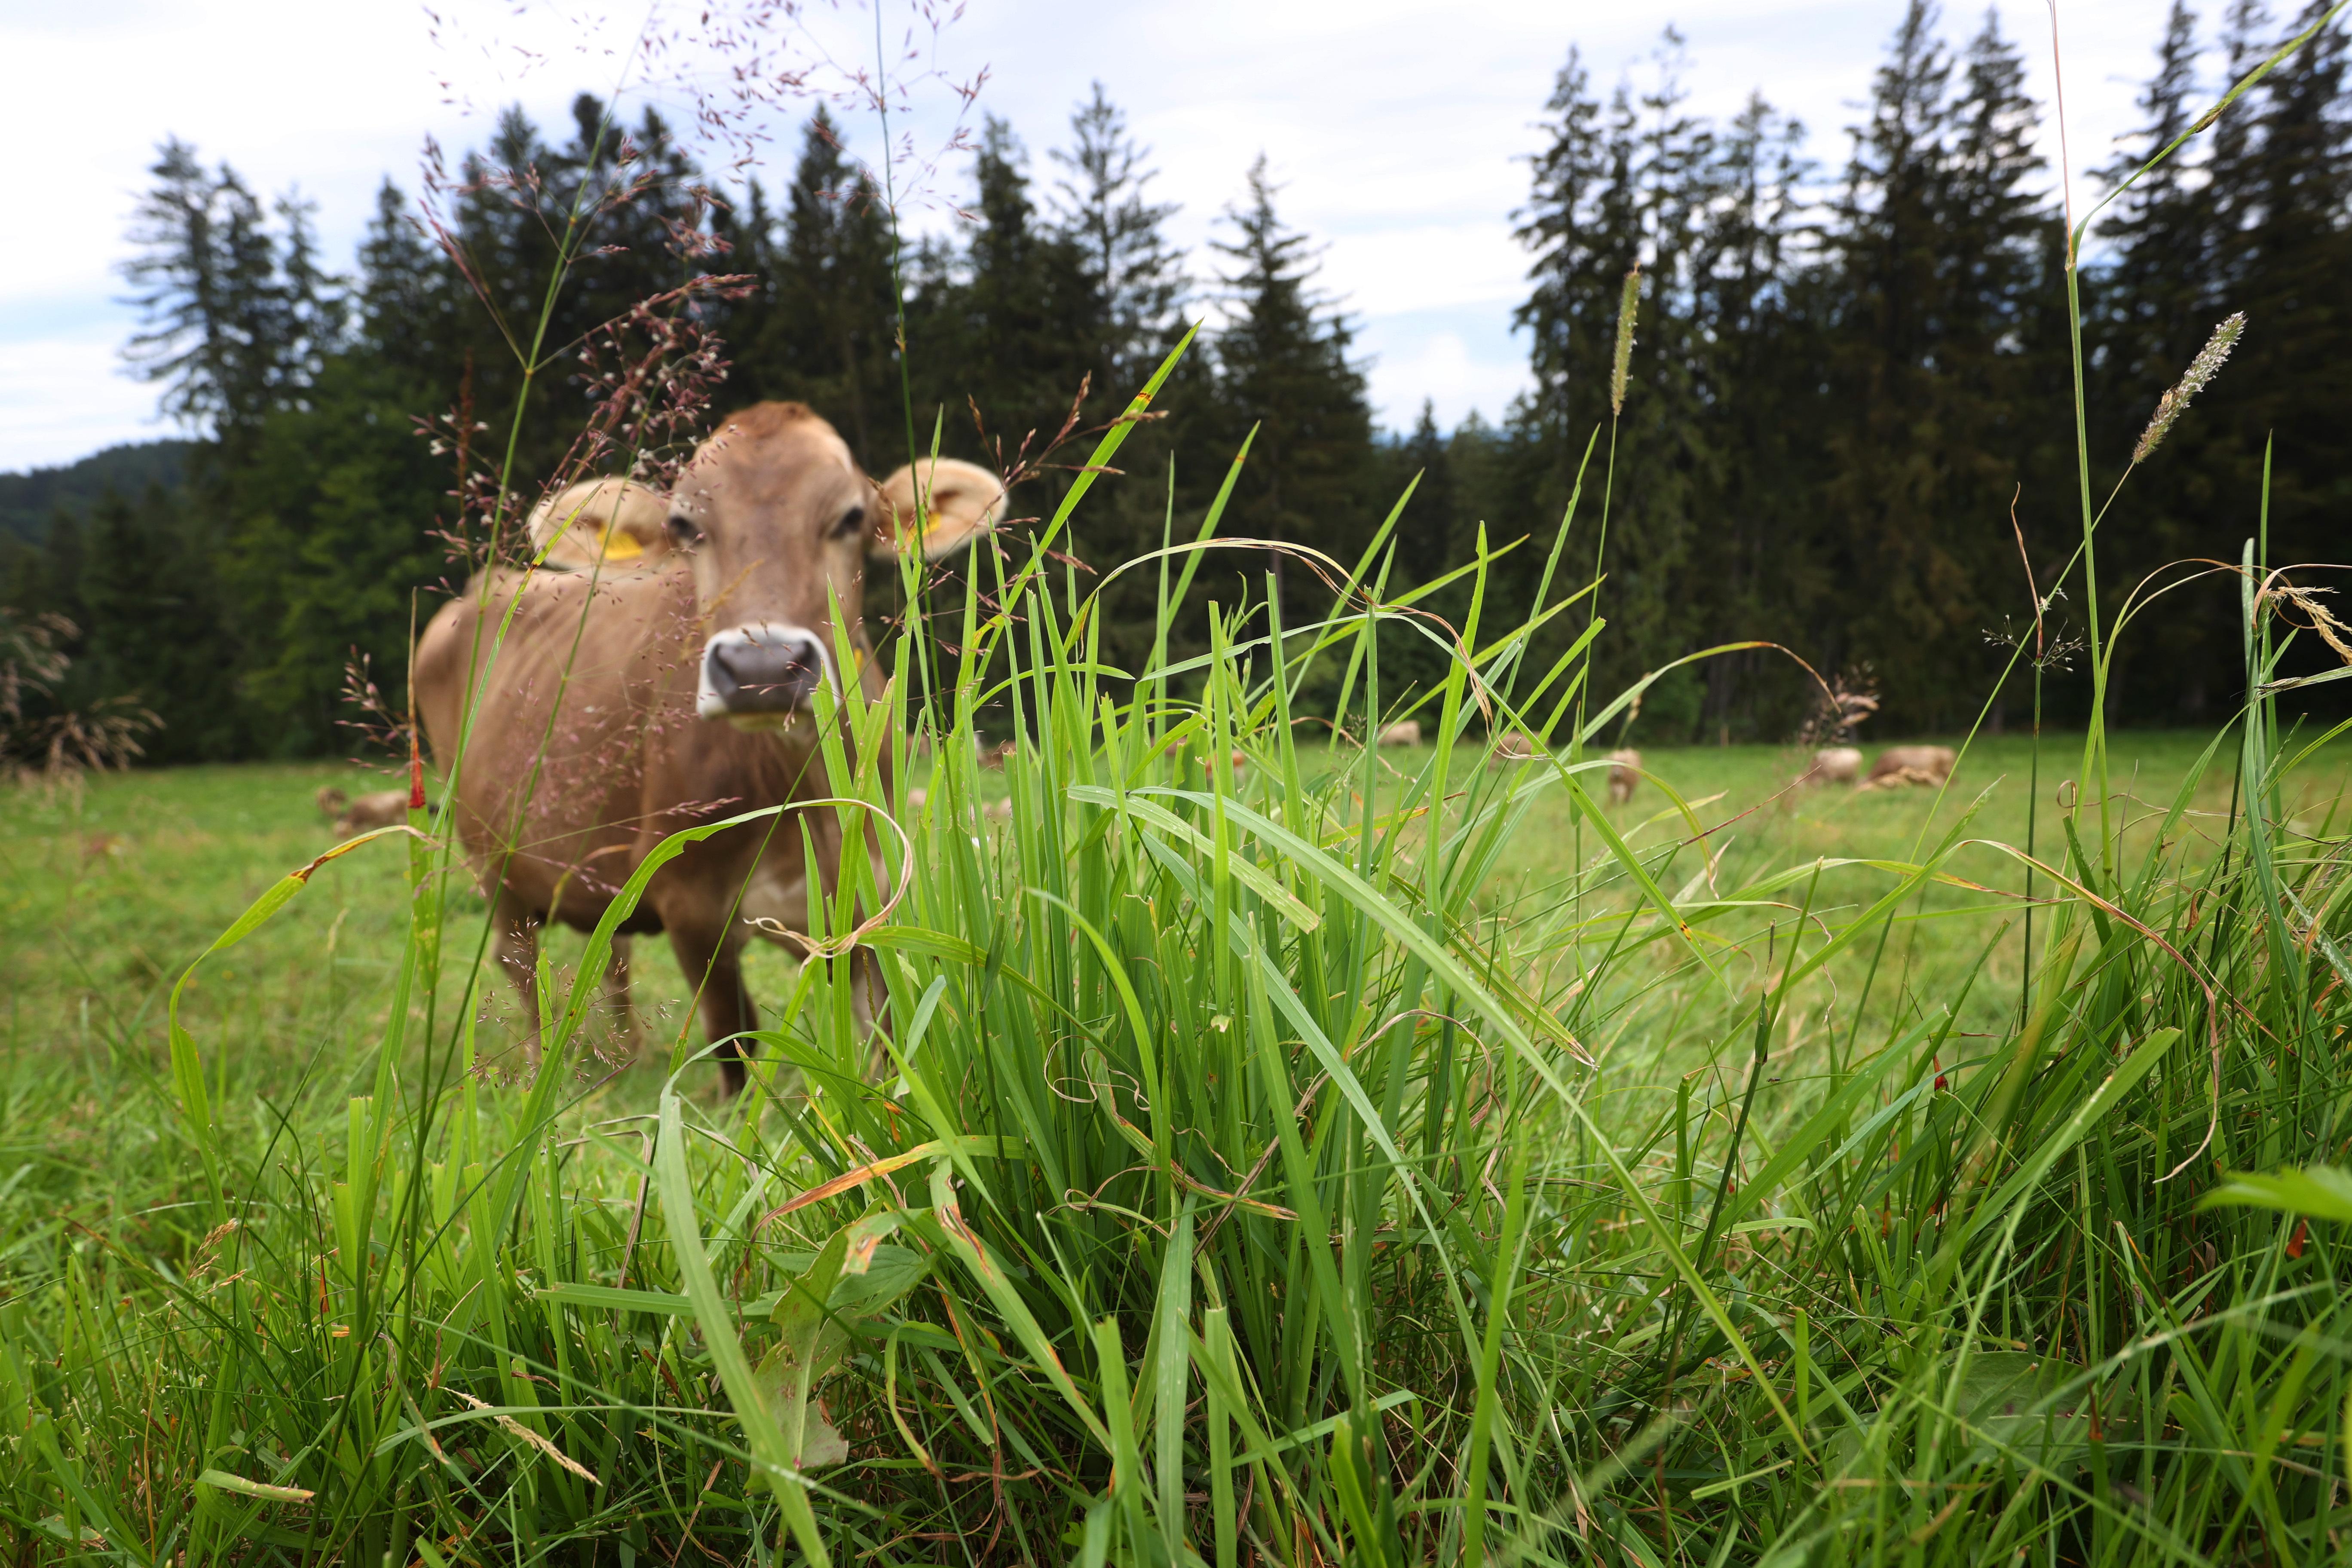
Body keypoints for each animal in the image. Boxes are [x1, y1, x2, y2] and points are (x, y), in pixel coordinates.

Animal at [415, 404, 1002, 1093]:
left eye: (851, 518)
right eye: (684, 525)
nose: (761, 666)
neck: (800, 795)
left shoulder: (873, 899)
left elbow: (887, 1048)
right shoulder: (689, 903)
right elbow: (734, 1043)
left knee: (609, 951)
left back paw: (627, 1052)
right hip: (490, 861)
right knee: (522, 967)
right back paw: (541, 1077)